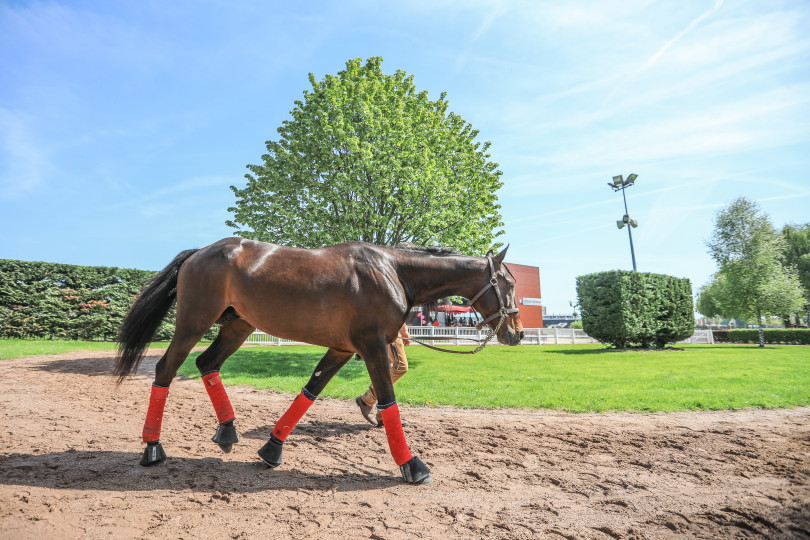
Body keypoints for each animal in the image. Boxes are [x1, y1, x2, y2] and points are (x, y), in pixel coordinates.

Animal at [115, 238, 524, 484]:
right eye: (508, 283)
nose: (517, 333)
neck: (392, 270)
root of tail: (202, 251)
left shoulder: (342, 349)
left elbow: (310, 391)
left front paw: (272, 448)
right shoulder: (373, 346)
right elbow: (389, 400)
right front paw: (412, 464)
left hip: (238, 325)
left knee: (206, 364)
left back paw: (227, 430)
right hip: (193, 321)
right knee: (166, 370)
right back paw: (152, 448)